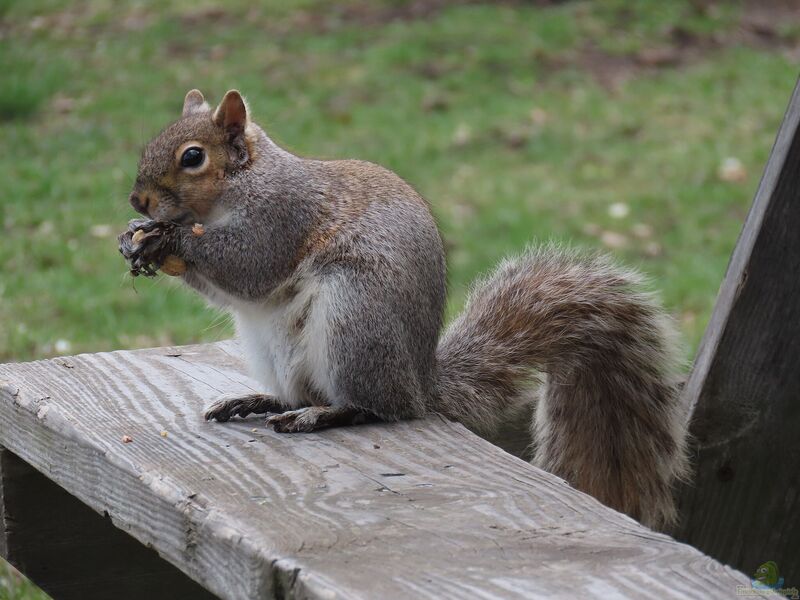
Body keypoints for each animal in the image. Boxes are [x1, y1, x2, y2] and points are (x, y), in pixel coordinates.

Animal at [119, 86, 688, 528]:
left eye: (193, 157)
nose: (137, 201)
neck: (238, 188)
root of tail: (419, 384)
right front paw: (136, 237)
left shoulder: (281, 217)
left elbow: (249, 265)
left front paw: (169, 240)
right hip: (275, 349)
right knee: (298, 392)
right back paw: (259, 402)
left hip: (355, 320)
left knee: (377, 407)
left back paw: (326, 414)